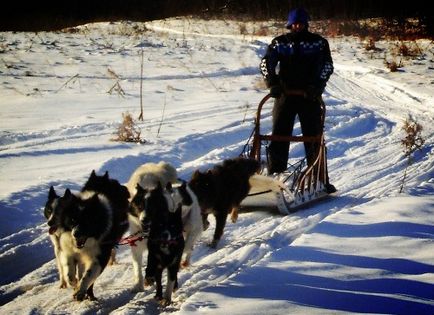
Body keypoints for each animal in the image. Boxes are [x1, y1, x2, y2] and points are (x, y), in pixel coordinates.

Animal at [125, 162, 178, 292]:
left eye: (152, 207)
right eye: (139, 207)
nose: (144, 220)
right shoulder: (136, 246)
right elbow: (137, 267)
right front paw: (138, 285)